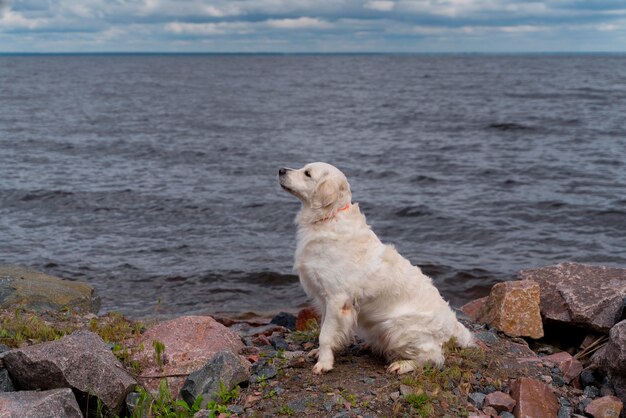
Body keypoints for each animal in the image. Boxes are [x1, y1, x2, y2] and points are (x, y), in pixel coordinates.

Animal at [278, 162, 472, 374]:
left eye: (307, 174)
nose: (280, 170)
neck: (329, 217)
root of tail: (452, 324)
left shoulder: (337, 299)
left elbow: (326, 335)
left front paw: (324, 363)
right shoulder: (324, 300)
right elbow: (324, 329)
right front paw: (319, 353)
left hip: (396, 327)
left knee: (434, 357)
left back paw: (402, 365)